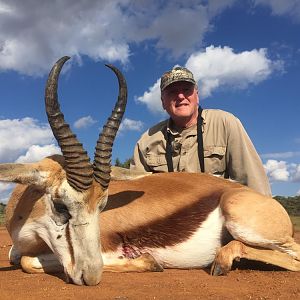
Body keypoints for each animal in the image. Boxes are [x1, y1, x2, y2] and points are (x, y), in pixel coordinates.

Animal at [1, 56, 300, 286]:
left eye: (103, 206)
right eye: (61, 205)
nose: (91, 276)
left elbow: (28, 261)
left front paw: (149, 261)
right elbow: (19, 258)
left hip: (244, 222)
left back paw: (221, 262)